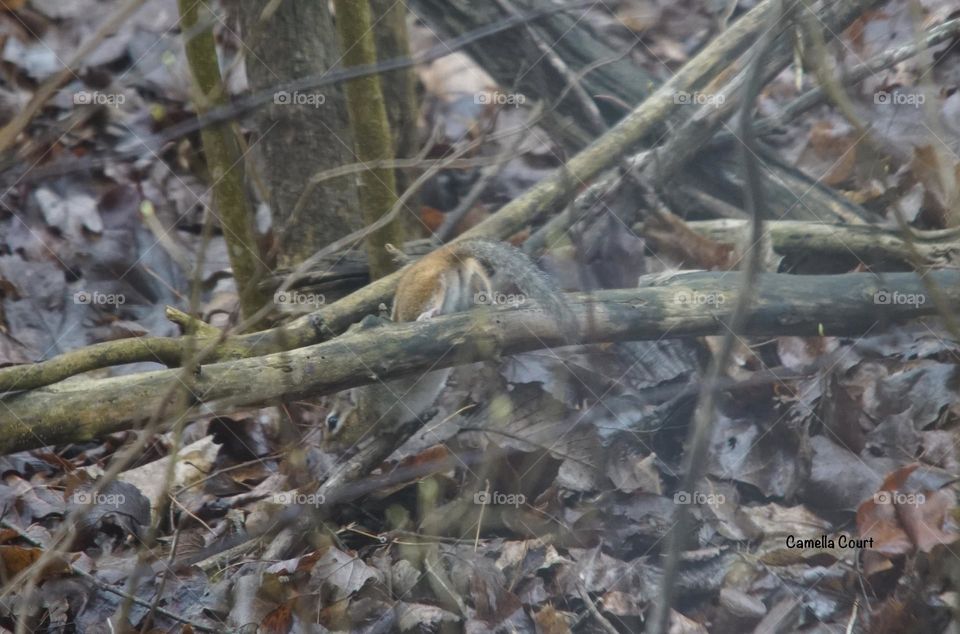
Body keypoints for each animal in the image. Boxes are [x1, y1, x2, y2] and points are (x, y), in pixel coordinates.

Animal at [323, 239, 573, 450]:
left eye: (332, 422)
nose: (326, 449)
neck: (365, 402)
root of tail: (445, 253)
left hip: (426, 288)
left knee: (437, 290)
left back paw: (430, 313)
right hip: (474, 279)